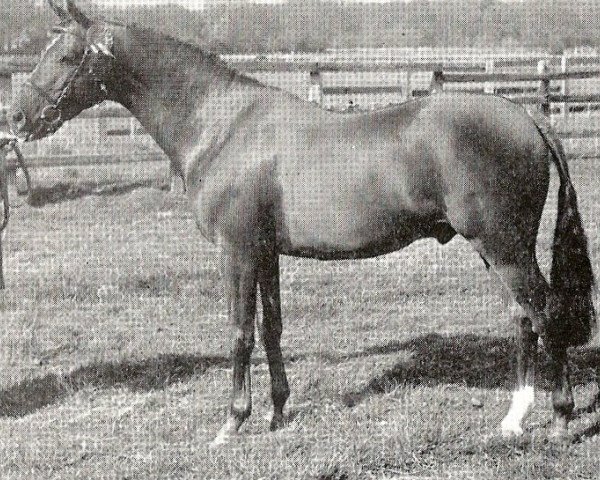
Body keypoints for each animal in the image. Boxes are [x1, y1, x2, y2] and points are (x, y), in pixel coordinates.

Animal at [9, 0, 596, 446]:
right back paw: (514, 418)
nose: (15, 118)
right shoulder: (265, 252)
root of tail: (528, 117)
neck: (222, 126)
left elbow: (240, 332)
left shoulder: (237, 251)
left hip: (503, 246)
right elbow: (272, 329)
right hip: (499, 248)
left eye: (66, 56)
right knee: (523, 317)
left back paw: (560, 418)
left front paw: (232, 424)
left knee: (545, 314)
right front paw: (276, 413)